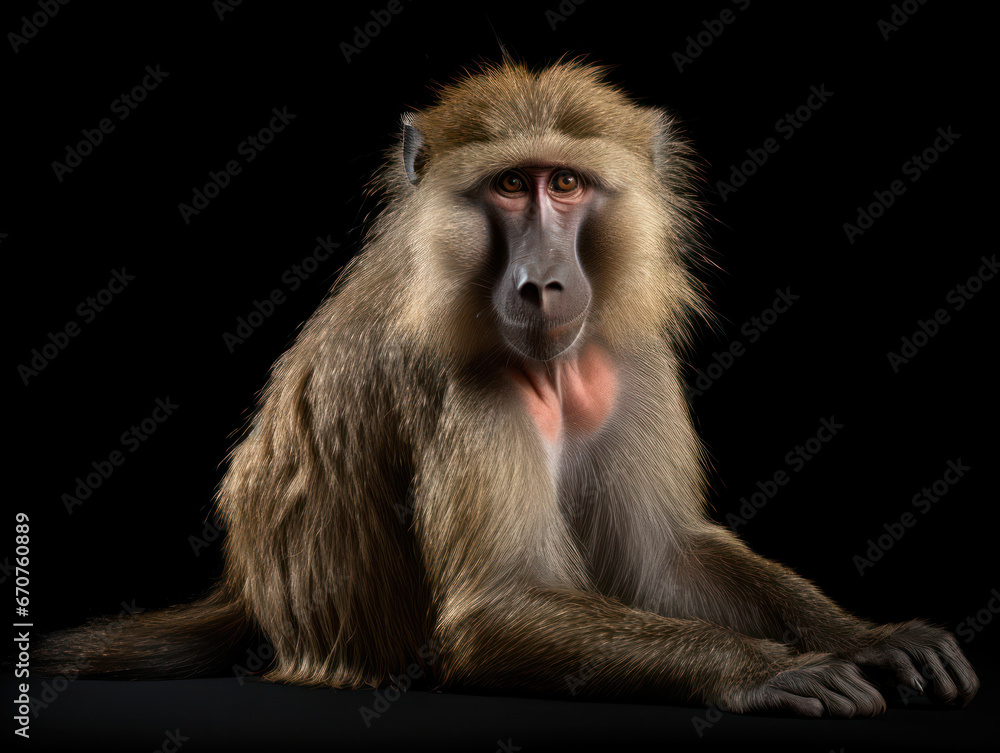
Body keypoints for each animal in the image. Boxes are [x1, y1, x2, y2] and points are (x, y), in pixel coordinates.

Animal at [36, 59, 978, 718]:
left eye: (564, 182)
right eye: (510, 185)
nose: (541, 285)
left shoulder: (631, 362)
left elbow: (665, 556)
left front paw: (868, 636)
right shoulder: (458, 386)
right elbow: (494, 610)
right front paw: (766, 667)